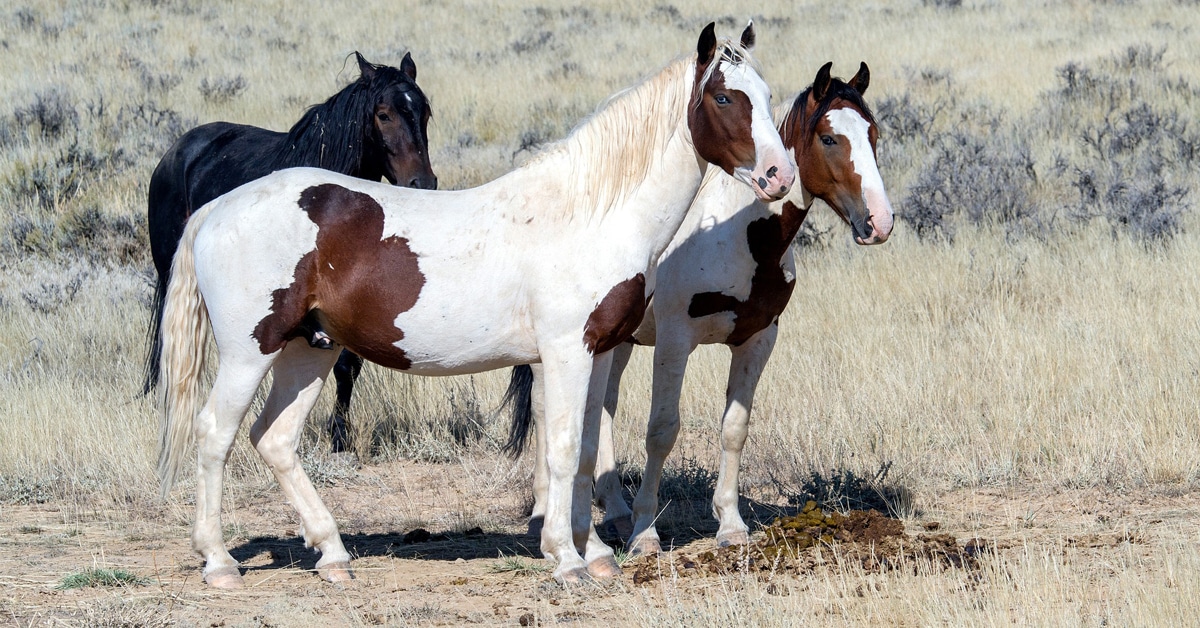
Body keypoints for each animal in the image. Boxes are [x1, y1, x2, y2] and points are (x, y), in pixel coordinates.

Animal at [144, 50, 436, 451]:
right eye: (383, 114)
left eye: (425, 112)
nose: (422, 183)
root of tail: (177, 151)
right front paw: (337, 436)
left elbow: (349, 366)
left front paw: (340, 435)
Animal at [511, 62, 897, 554]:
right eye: (829, 138)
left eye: (873, 133)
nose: (879, 222)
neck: (739, 235)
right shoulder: (675, 341)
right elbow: (661, 431)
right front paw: (646, 531)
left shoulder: (758, 338)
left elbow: (735, 428)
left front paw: (730, 524)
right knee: (546, 410)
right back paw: (546, 514)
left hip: (616, 342)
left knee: (603, 410)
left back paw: (613, 510)